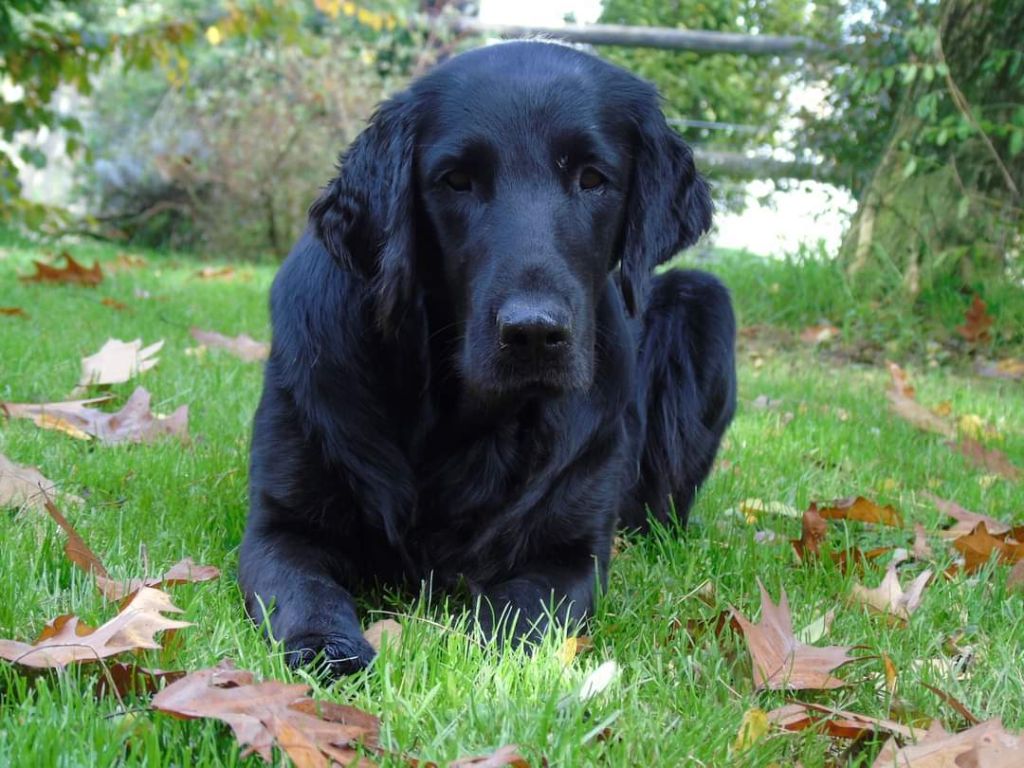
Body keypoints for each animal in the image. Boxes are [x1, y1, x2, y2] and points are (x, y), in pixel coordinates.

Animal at [239, 41, 737, 671]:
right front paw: (331, 652)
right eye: (456, 180)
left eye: (593, 178)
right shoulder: (281, 527)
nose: (533, 333)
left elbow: (518, 613)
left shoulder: (572, 553)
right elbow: (308, 592)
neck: (466, 420)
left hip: (707, 303)